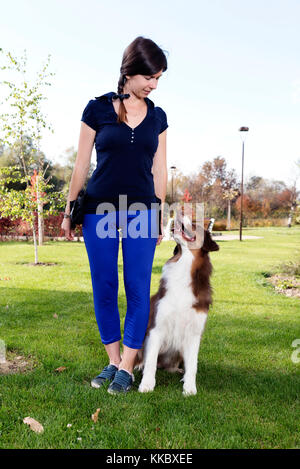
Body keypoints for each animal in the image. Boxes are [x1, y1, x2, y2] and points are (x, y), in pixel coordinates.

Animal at [135, 210, 219, 396]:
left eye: (195, 224)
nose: (180, 211)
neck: (184, 266)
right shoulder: (155, 329)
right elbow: (150, 361)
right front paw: (147, 384)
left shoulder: (194, 334)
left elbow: (193, 365)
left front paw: (189, 387)